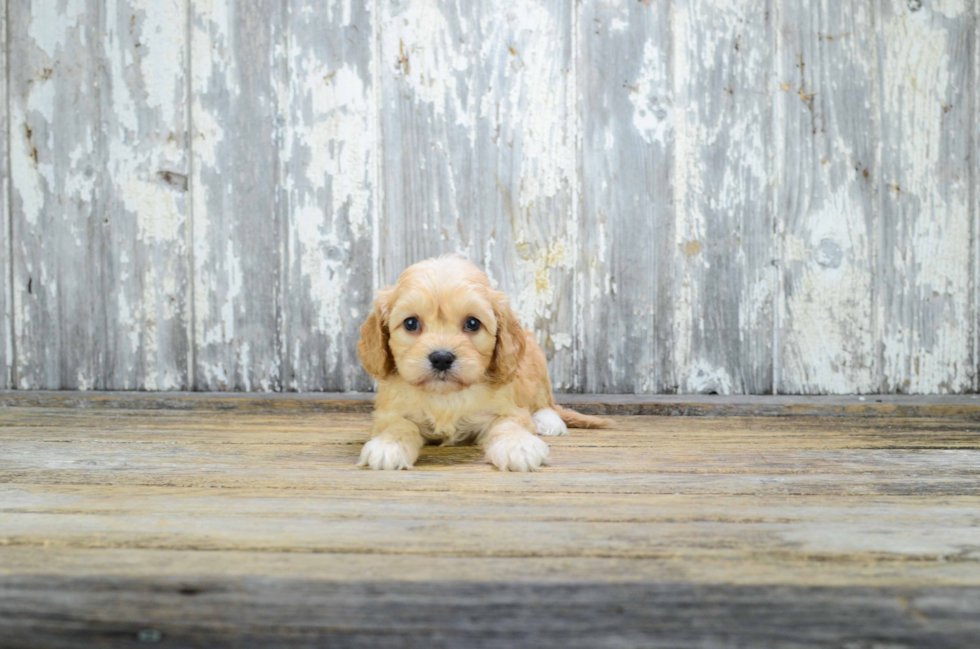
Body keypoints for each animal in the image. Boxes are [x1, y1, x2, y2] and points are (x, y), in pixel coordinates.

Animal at [356, 253, 608, 470]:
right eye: (410, 323)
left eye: (473, 323)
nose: (441, 358)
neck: (446, 397)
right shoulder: (389, 412)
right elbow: (399, 425)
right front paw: (388, 445)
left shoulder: (507, 408)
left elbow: (509, 424)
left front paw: (519, 445)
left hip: (536, 364)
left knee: (545, 402)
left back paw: (548, 420)